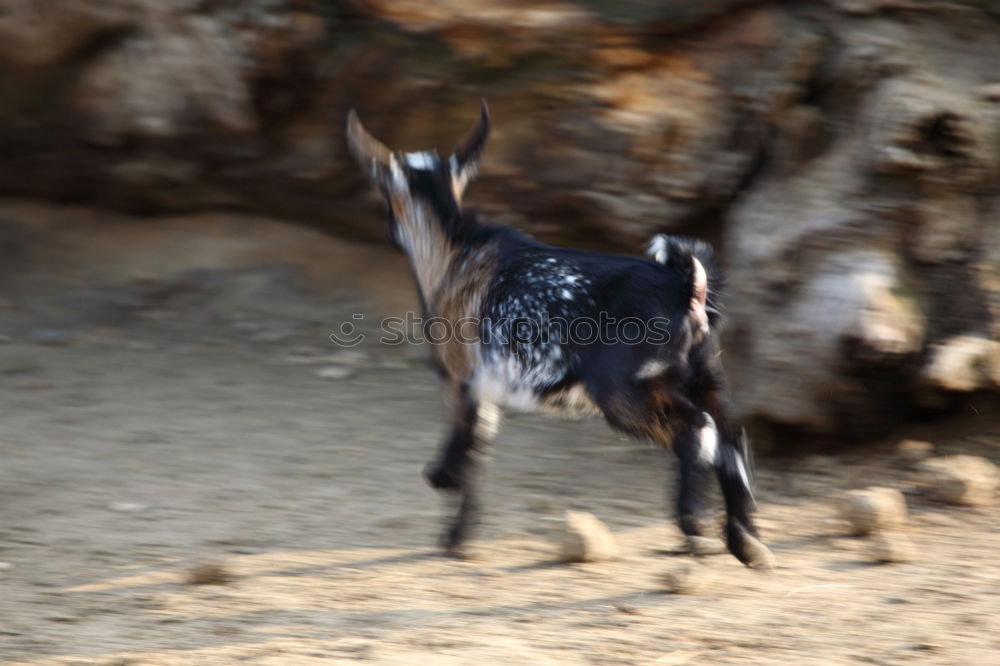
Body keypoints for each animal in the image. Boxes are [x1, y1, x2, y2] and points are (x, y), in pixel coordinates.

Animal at [344, 102, 772, 564]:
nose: (388, 226)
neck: (456, 249)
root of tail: (686, 285)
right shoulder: (486, 386)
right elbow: (478, 448)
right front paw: (456, 520)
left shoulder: (461, 378)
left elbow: (467, 446)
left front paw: (450, 516)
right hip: (705, 373)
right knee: (731, 437)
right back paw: (747, 543)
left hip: (623, 390)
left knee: (696, 429)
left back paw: (694, 528)